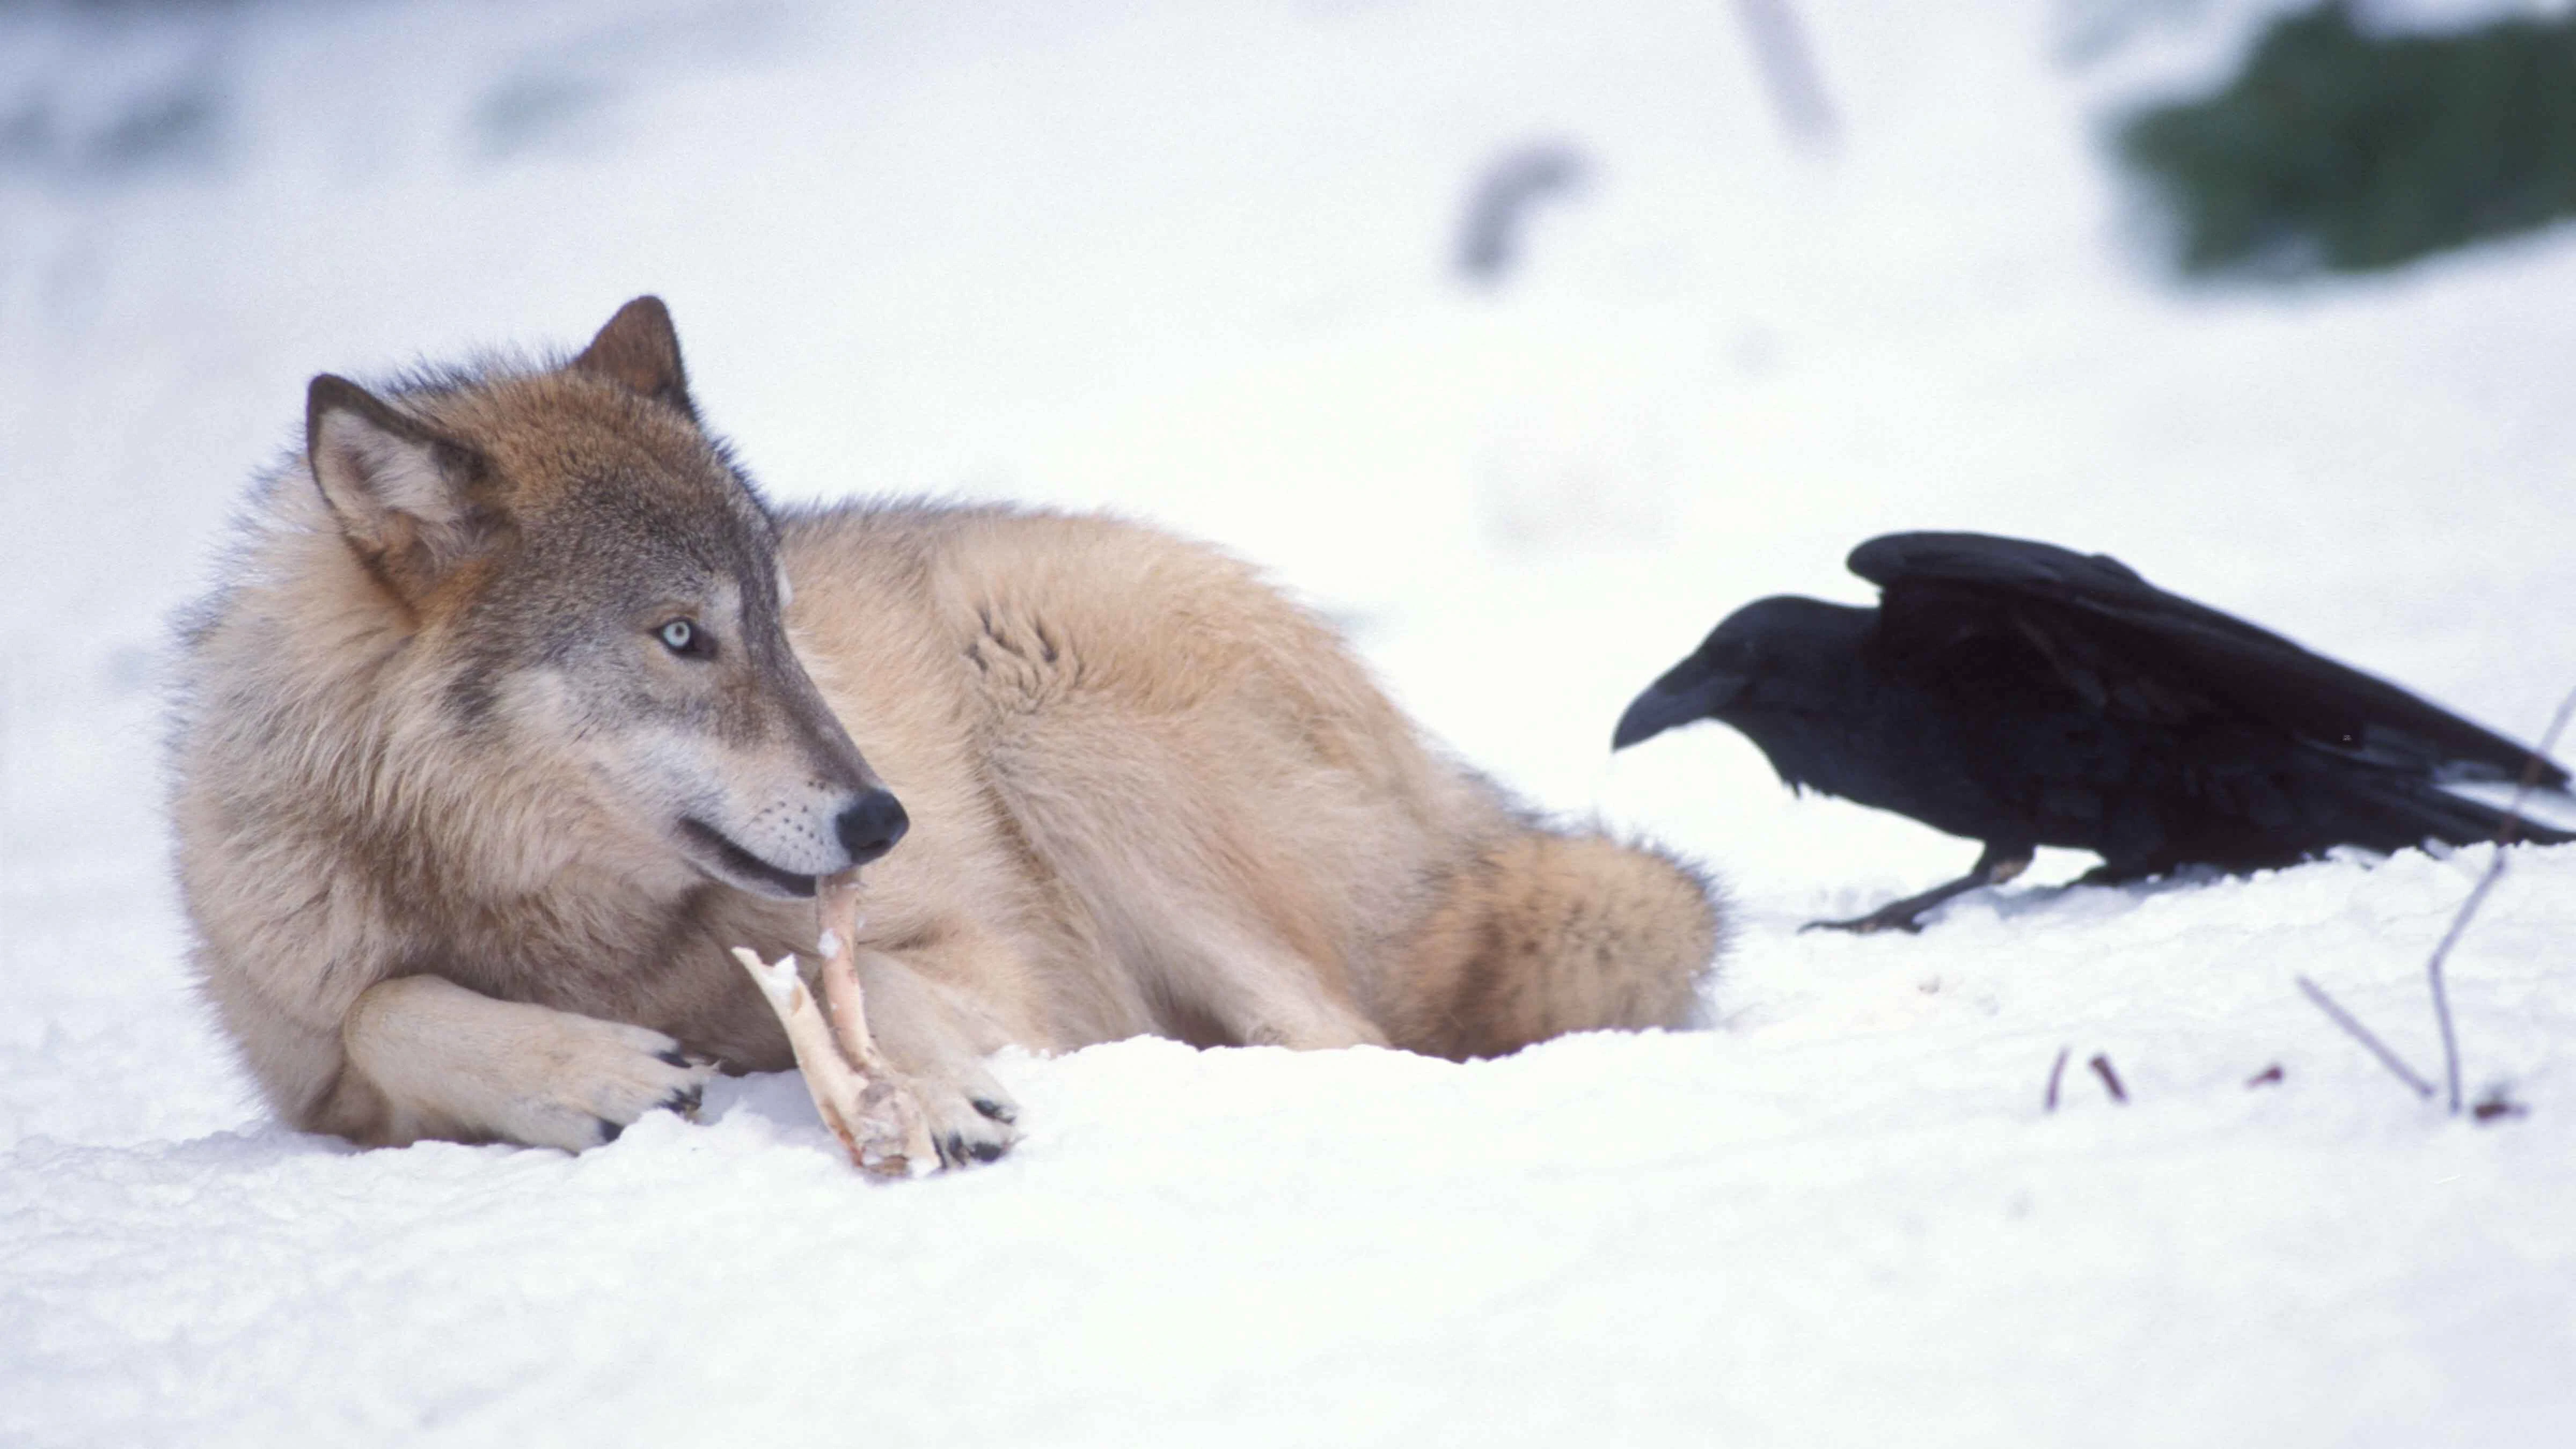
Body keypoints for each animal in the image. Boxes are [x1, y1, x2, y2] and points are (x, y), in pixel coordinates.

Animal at [169, 297, 1724, 1166]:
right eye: (681, 634)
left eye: (782, 618)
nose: (883, 815)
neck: (554, 921)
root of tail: (1459, 796)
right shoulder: (320, 1079)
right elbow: (385, 1004)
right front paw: (586, 1071)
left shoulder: (992, 963)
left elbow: (848, 971)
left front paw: (916, 1089)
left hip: (1042, 678)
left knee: (1357, 1045)